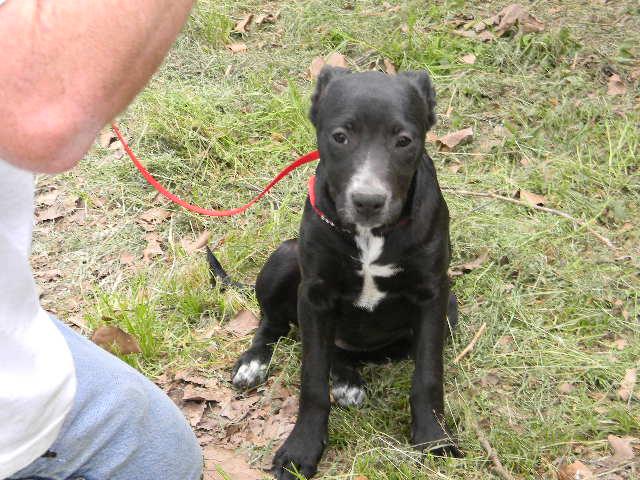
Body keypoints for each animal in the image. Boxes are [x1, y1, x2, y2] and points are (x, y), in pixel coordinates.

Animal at [228, 65, 458, 478]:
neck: (370, 235)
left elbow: (428, 374)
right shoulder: (315, 294)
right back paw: (255, 362)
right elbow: (312, 380)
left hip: (450, 312)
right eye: (340, 137)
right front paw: (302, 449)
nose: (368, 201)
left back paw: (348, 377)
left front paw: (433, 437)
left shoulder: (433, 296)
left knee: (342, 351)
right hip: (285, 257)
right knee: (275, 323)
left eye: (404, 141)